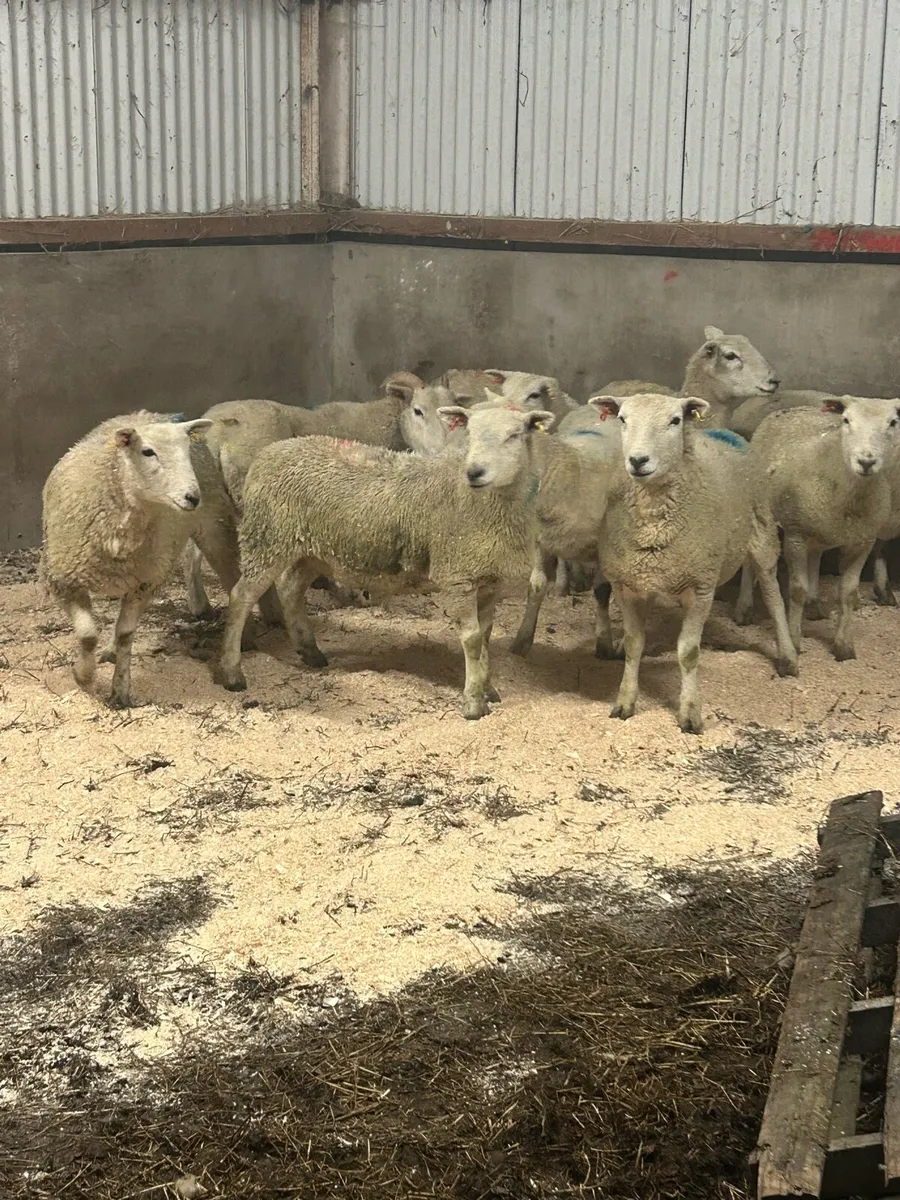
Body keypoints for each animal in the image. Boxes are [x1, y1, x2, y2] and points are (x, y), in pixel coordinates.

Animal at [41, 412, 214, 707]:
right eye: (147, 452)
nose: (193, 497)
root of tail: (150, 414)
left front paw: (120, 689)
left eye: (187, 451)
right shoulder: (66, 580)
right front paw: (84, 677)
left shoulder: (144, 583)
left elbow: (125, 635)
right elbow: (88, 636)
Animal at [184, 376, 454, 619]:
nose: (440, 451)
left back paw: (201, 607)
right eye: (418, 411)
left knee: (196, 550)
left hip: (210, 499)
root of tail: (220, 432)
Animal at [212, 403, 557, 719]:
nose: (474, 472)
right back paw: (232, 672)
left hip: (311, 549)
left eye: (515, 435)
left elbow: (485, 638)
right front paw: (473, 703)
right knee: (242, 596)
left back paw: (310, 652)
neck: (483, 503)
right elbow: (472, 640)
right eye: (468, 432)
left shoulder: (488, 582)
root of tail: (269, 452)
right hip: (267, 537)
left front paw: (488, 688)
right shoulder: (456, 577)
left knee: (290, 589)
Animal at [591, 393, 797, 733]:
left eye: (675, 420)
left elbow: (688, 652)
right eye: (622, 419)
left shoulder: (701, 587)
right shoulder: (627, 585)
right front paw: (625, 701)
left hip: (762, 532)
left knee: (774, 596)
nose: (638, 460)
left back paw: (788, 656)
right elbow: (635, 644)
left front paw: (689, 714)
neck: (653, 516)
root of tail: (723, 431)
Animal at [735, 398, 900, 660]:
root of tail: (792, 408)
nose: (866, 462)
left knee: (816, 555)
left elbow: (849, 593)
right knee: (753, 560)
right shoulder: (796, 536)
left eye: (893, 422)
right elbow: (797, 590)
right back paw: (744, 608)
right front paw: (794, 641)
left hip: (818, 526)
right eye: (846, 420)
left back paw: (813, 605)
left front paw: (844, 646)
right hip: (762, 509)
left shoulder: (863, 541)